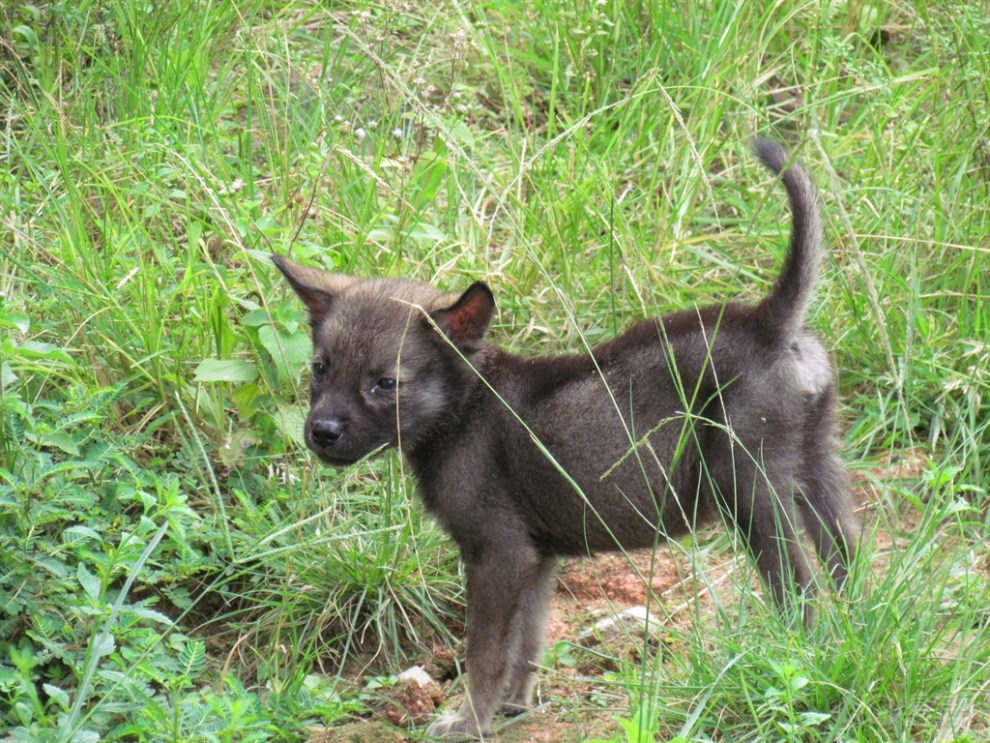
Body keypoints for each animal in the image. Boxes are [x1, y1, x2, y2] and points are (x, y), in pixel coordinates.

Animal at [274, 138, 860, 740]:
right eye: (319, 368)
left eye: (384, 384)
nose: (320, 432)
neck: (464, 408)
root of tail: (770, 323)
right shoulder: (537, 556)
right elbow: (528, 643)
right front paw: (516, 707)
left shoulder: (499, 552)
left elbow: (487, 653)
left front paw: (469, 721)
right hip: (817, 466)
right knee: (849, 562)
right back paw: (860, 635)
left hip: (749, 488)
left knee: (801, 591)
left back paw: (803, 657)